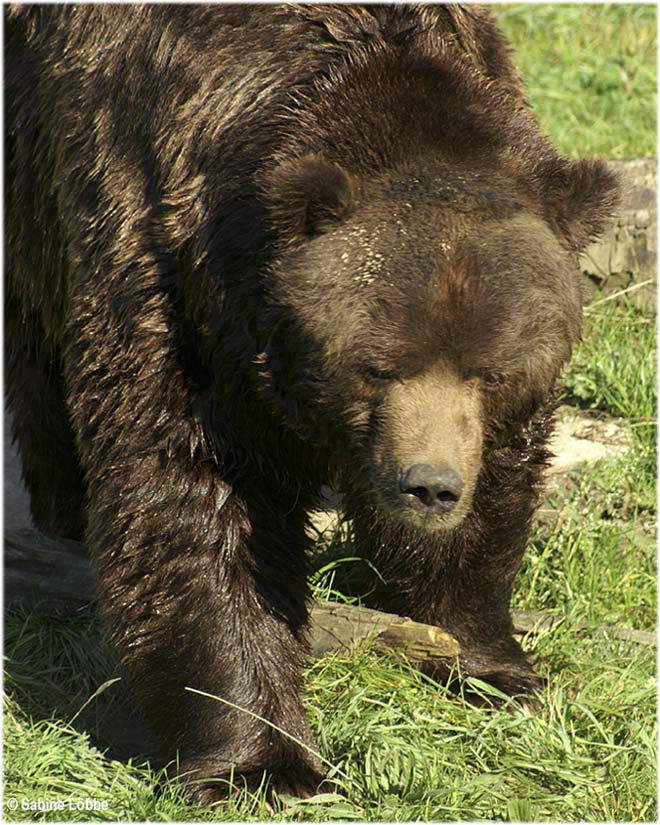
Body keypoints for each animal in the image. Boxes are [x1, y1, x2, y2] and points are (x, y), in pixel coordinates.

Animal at [5, 1, 616, 804]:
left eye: (490, 370)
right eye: (377, 366)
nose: (429, 485)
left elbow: (495, 493)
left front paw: (492, 659)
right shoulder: (172, 267)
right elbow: (199, 501)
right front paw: (261, 762)